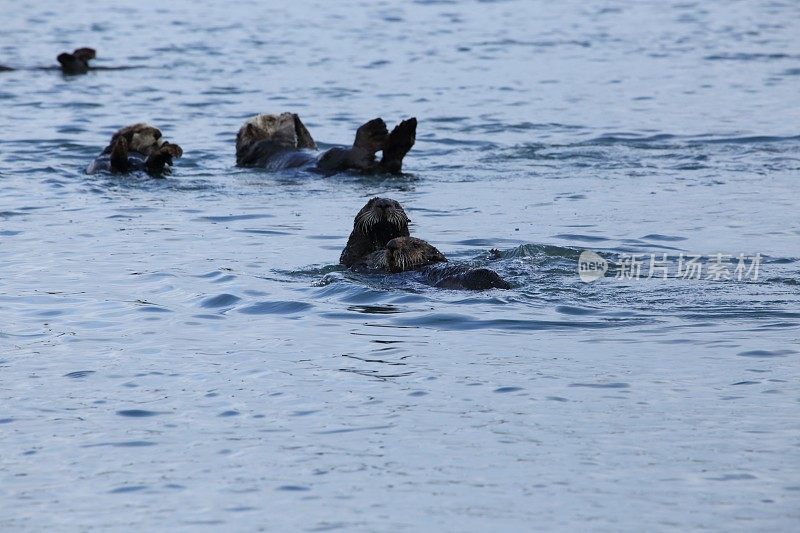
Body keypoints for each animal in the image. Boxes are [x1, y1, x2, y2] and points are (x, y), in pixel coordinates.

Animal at [234, 112, 416, 175]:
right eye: (270, 120)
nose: (278, 115)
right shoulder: (260, 147)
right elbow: (281, 136)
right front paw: (287, 119)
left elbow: (308, 144)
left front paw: (296, 120)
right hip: (330, 157)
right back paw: (374, 133)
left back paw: (403, 134)